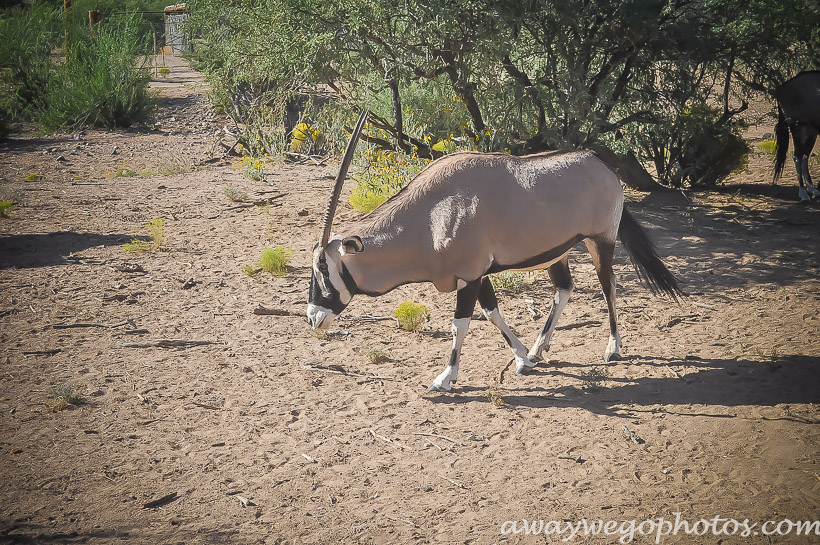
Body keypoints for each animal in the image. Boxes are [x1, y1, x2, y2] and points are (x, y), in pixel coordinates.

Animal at [308, 111, 684, 392]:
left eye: (324, 268)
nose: (313, 318)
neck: (429, 216)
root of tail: (601, 165)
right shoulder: (477, 275)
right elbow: (492, 312)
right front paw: (523, 359)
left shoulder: (470, 275)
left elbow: (460, 324)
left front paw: (445, 378)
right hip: (558, 252)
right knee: (564, 289)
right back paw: (540, 347)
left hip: (600, 240)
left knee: (609, 286)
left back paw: (613, 348)